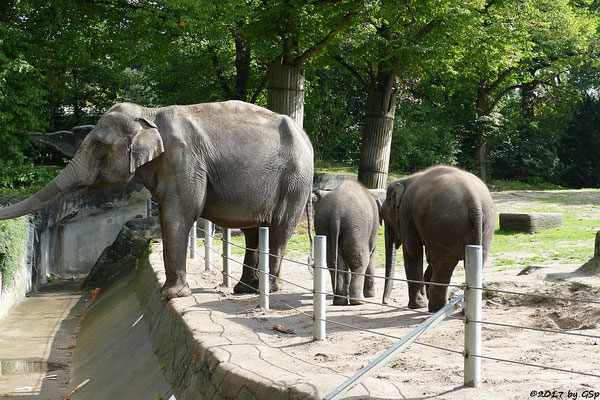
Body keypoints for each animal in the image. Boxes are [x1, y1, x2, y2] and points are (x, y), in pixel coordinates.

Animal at [0, 102, 316, 300]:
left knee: (279, 230)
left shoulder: (184, 159)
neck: (149, 113)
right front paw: (171, 291)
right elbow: (167, 214)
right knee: (252, 231)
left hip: (294, 181)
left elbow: (180, 214)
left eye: (99, 146)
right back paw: (245, 290)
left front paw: (171, 295)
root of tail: (306, 137)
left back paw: (269, 288)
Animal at [382, 166, 494, 312]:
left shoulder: (405, 215)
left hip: (445, 223)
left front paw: (418, 305)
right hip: (485, 225)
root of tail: (474, 201)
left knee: (442, 264)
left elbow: (412, 250)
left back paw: (435, 308)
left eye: (382, 214)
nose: (385, 302)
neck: (404, 180)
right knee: (471, 261)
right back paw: (459, 311)